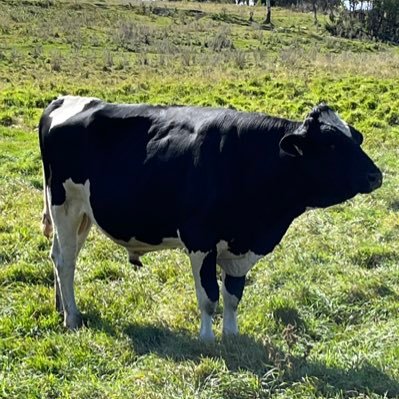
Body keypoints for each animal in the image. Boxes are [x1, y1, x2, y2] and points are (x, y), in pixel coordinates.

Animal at [39, 96, 382, 340]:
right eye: (332, 144)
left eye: (355, 138)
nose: (376, 176)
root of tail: (63, 100)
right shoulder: (199, 240)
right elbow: (209, 296)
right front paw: (206, 340)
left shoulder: (241, 247)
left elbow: (232, 296)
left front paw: (232, 337)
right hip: (64, 205)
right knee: (65, 262)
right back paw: (73, 318)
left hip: (83, 214)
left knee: (60, 255)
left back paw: (60, 307)